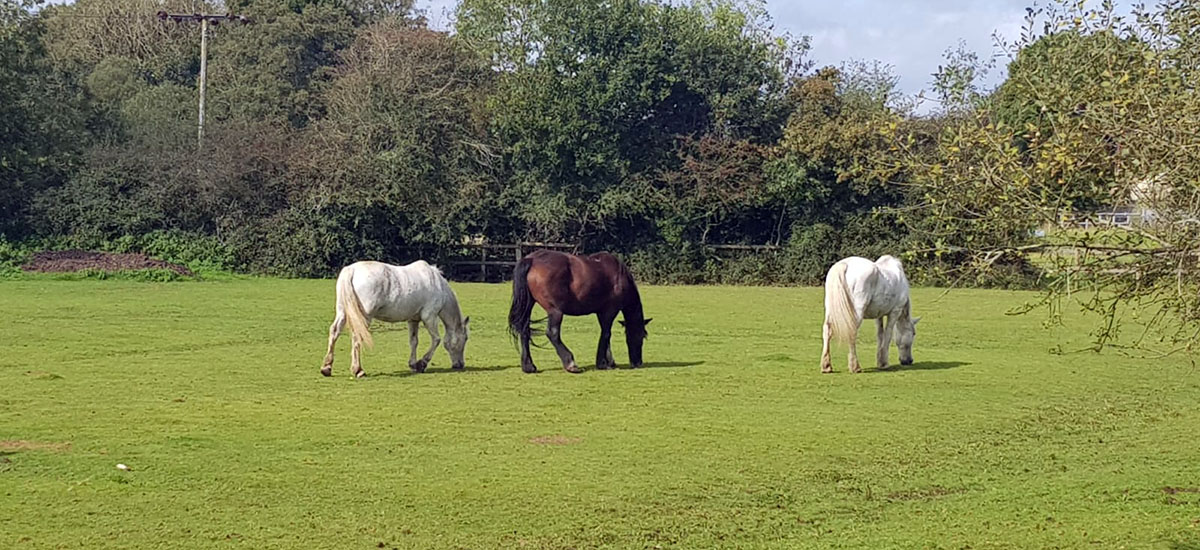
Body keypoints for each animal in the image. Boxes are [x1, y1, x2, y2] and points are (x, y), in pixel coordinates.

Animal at [321, 259, 470, 377]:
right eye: (465, 338)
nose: (460, 364)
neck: (438, 286)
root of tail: (352, 270)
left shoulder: (413, 320)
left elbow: (414, 341)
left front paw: (413, 364)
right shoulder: (429, 317)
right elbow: (436, 340)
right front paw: (422, 363)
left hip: (343, 312)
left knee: (334, 332)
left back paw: (326, 368)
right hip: (363, 317)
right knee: (357, 337)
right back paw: (358, 370)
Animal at [508, 249, 652, 374]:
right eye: (641, 336)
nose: (638, 362)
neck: (619, 277)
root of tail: (532, 259)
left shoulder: (601, 312)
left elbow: (606, 335)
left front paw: (609, 361)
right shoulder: (609, 311)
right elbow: (606, 334)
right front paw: (602, 363)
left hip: (528, 305)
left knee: (524, 331)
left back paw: (528, 366)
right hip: (555, 311)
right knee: (552, 333)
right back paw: (570, 363)